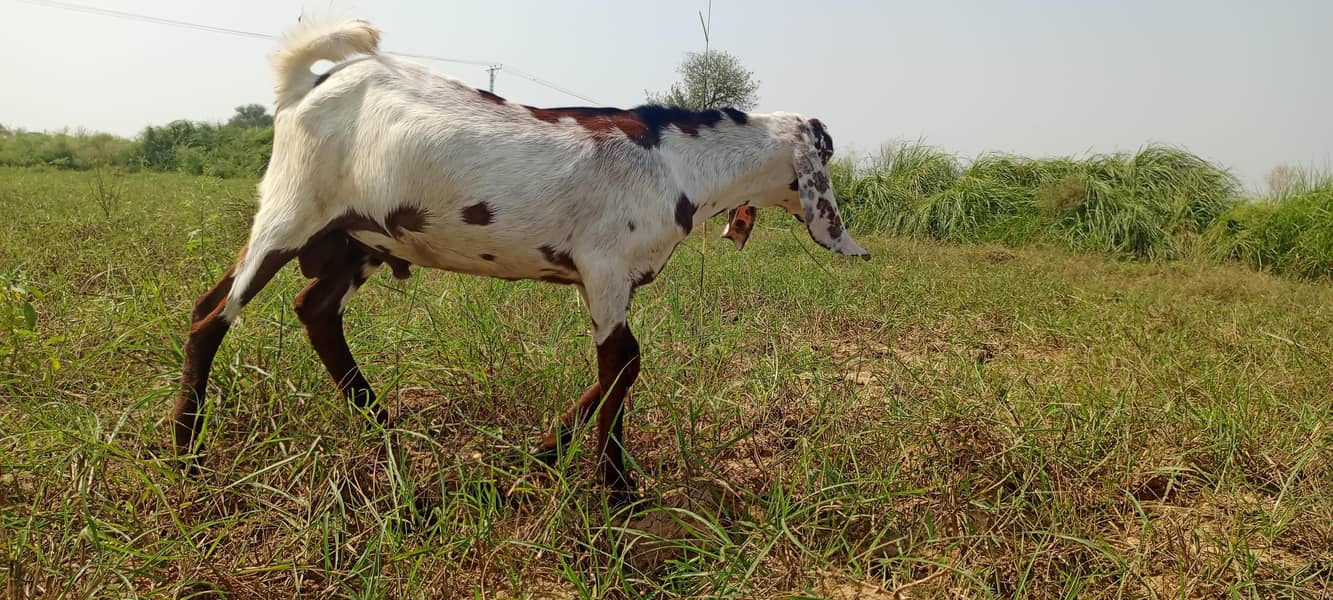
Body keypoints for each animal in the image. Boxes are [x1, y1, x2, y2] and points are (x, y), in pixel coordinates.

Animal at [173, 18, 869, 505]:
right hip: (290, 211)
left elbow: (621, 365)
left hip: (356, 239)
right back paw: (186, 453)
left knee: (312, 309)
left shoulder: (611, 283)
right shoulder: (605, 269)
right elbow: (623, 363)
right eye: (828, 152)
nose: (848, 241)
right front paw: (615, 489)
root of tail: (303, 86)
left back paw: (385, 428)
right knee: (211, 317)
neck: (674, 161)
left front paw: (544, 454)